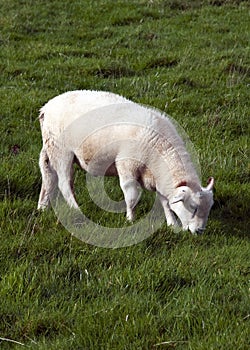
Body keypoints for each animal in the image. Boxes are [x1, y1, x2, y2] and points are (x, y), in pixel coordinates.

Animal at [38, 90, 214, 234]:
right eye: (193, 208)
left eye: (209, 208)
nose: (199, 231)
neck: (160, 149)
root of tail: (46, 108)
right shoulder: (127, 166)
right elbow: (132, 196)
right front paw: (130, 219)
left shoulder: (158, 176)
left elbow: (165, 201)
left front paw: (172, 224)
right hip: (62, 151)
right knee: (64, 184)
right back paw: (76, 210)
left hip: (50, 148)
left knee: (48, 176)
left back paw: (43, 207)